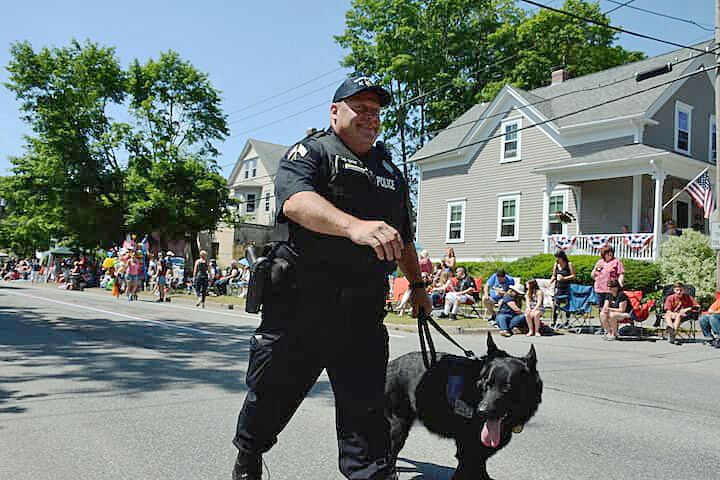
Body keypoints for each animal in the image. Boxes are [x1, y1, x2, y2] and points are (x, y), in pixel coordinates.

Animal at [386, 332, 544, 478]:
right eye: (487, 384)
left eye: (507, 388)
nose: (481, 411)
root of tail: (390, 364)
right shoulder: (467, 452)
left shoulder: (478, 453)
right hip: (398, 429)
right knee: (390, 457)